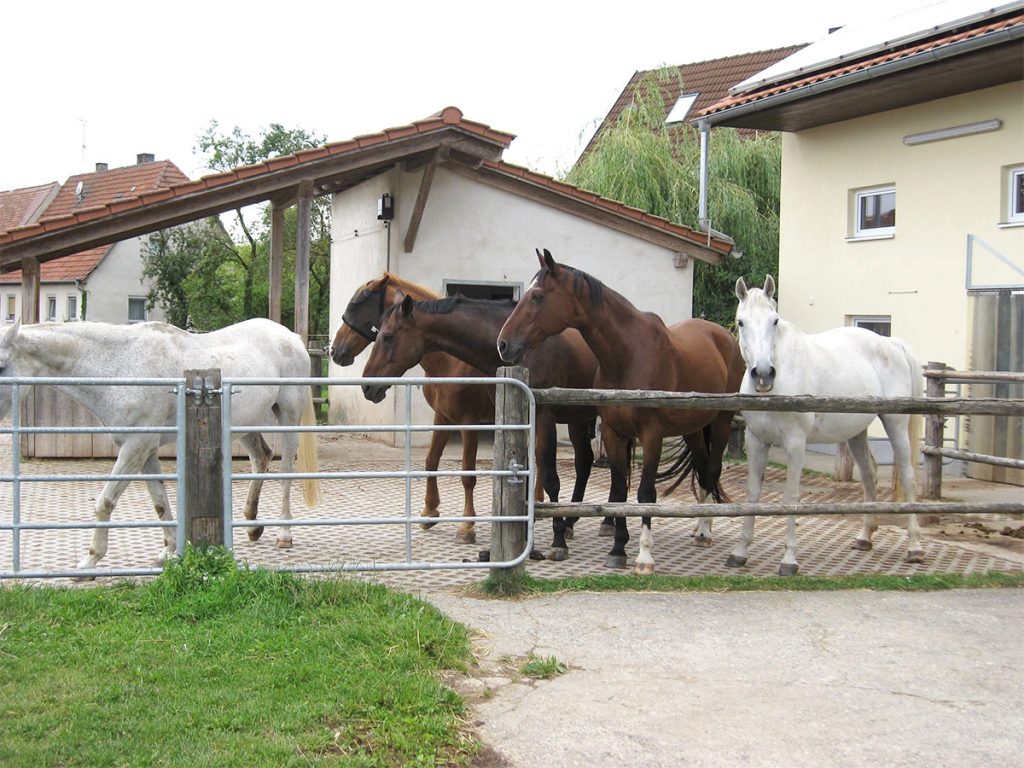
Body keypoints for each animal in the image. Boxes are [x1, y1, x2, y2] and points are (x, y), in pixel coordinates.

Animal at [0, 318, 320, 575]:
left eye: (2, 365)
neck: (120, 365)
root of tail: (290, 336)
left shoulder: (134, 448)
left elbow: (105, 502)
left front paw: (89, 563)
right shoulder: (145, 452)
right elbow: (160, 503)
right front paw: (170, 552)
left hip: (288, 416)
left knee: (286, 470)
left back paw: (284, 534)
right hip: (244, 423)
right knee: (260, 457)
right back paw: (253, 527)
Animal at [330, 273, 494, 544]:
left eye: (356, 306)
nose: (335, 351)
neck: (451, 361)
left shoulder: (469, 422)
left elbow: (467, 474)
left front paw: (467, 526)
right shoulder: (443, 418)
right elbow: (431, 461)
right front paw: (429, 511)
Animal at [361, 292, 599, 560]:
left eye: (388, 336)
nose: (367, 386)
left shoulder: (493, 421)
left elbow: (546, 479)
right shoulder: (457, 418)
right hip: (578, 419)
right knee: (584, 462)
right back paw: (570, 522)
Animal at [497, 249, 745, 574]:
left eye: (537, 296)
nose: (503, 344)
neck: (628, 355)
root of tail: (723, 336)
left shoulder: (651, 435)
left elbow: (645, 494)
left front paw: (644, 557)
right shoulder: (614, 433)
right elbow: (618, 492)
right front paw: (618, 548)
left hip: (721, 423)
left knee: (712, 470)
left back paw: (704, 531)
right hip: (692, 429)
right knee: (703, 469)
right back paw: (699, 528)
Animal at [727, 276, 924, 575]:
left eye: (774, 320)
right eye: (741, 322)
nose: (763, 374)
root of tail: (891, 342)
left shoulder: (795, 444)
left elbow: (791, 497)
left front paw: (789, 560)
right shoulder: (756, 441)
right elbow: (752, 493)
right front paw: (740, 552)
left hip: (895, 424)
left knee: (908, 476)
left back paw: (914, 547)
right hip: (857, 432)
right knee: (869, 473)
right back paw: (865, 537)